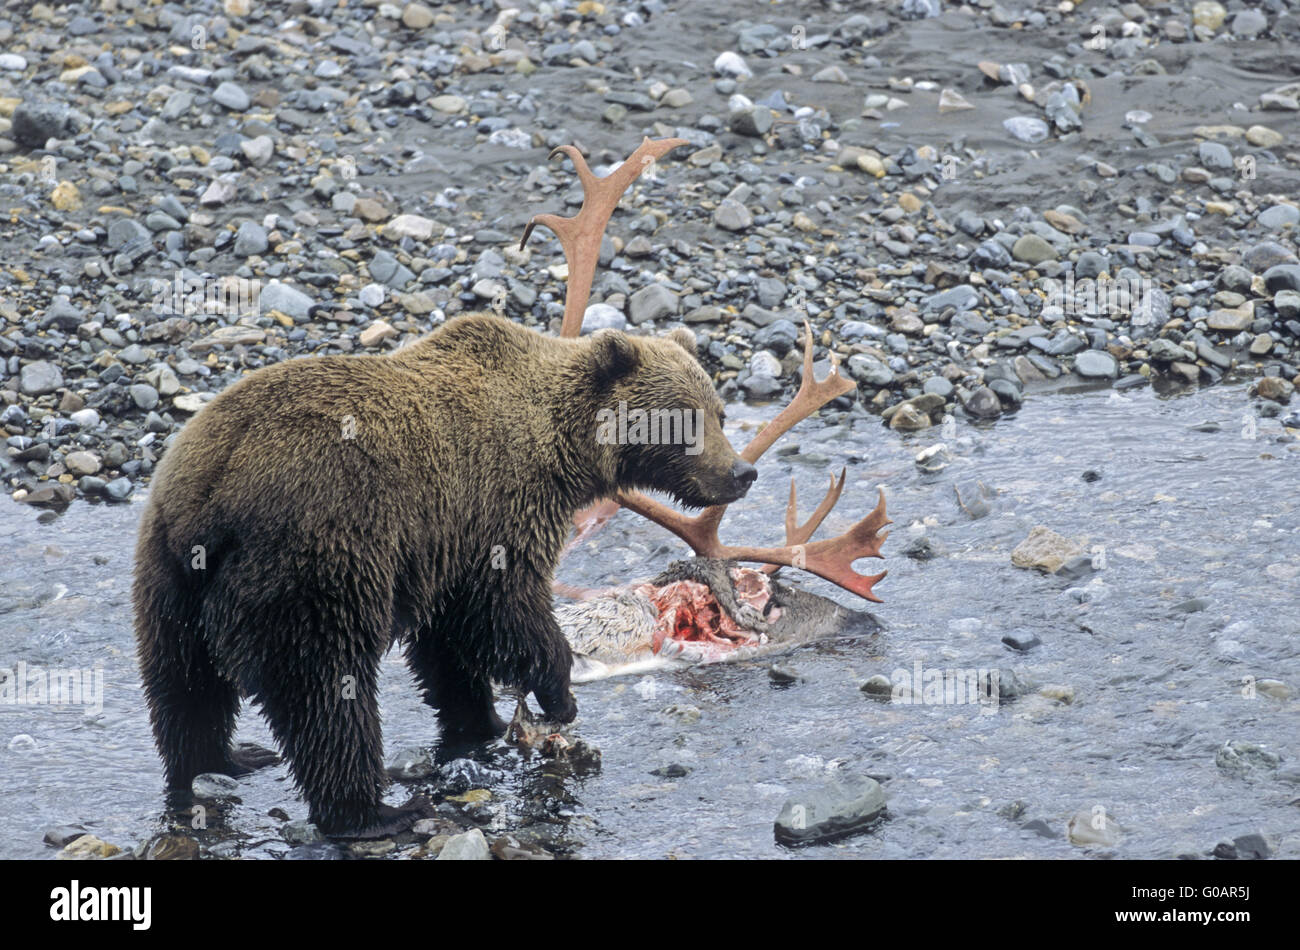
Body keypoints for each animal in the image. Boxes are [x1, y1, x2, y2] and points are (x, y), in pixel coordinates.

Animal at [131, 315, 759, 836]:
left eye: (719, 411)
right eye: (685, 419)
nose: (741, 471)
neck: (564, 450)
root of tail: (214, 493)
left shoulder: (442, 546)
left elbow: (448, 642)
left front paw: (478, 721)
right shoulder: (496, 507)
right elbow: (502, 611)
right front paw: (558, 693)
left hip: (170, 572)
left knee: (183, 681)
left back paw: (224, 759)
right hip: (316, 559)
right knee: (326, 689)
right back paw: (375, 811)